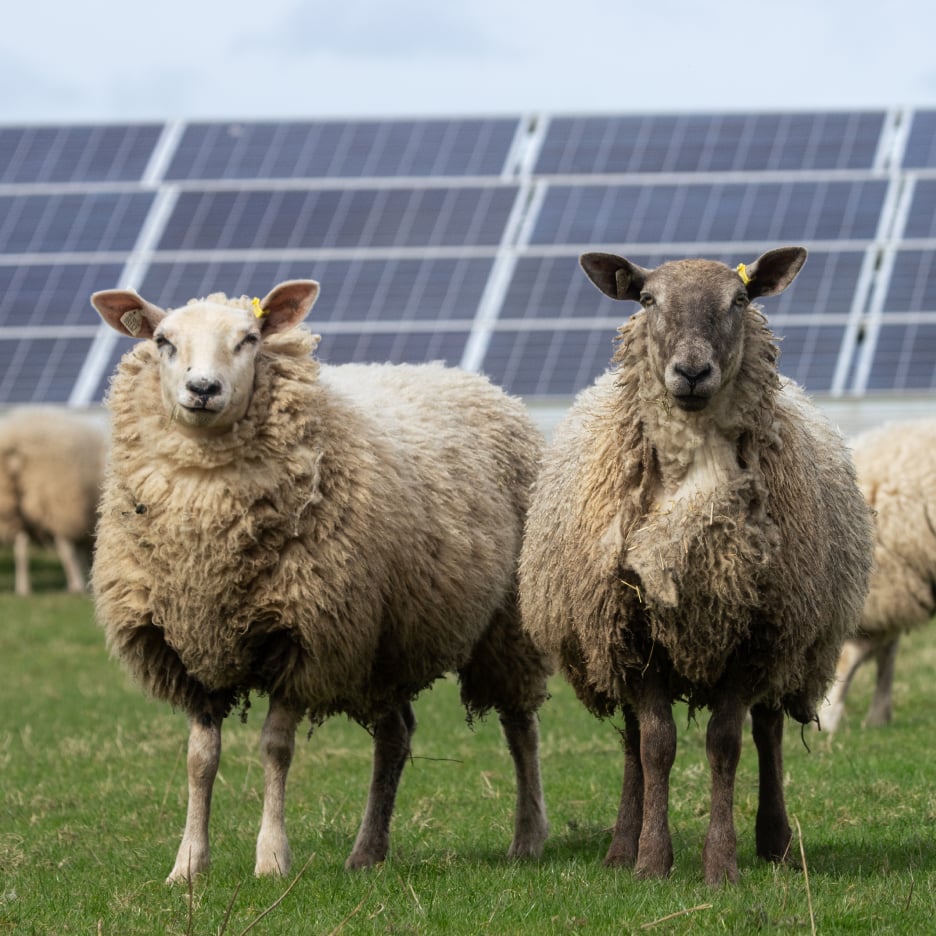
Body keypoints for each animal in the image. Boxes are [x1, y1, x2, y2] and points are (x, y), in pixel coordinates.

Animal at [0, 406, 107, 595]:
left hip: (13, 507)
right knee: (64, 547)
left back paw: (23, 589)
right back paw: (76, 586)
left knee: (21, 547)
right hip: (56, 500)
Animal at [89, 279, 550, 883]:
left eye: (250, 339)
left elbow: (275, 749)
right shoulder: (188, 645)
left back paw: (528, 836)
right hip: (384, 645)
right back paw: (368, 850)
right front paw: (188, 865)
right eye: (163, 340)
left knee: (521, 728)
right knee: (395, 737)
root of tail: (473, 378)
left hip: (506, 625)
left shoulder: (302, 635)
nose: (203, 388)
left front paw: (271, 859)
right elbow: (199, 760)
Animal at [518, 248, 874, 885]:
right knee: (633, 742)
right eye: (647, 299)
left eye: (740, 299)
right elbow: (657, 745)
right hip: (611, 645)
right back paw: (621, 845)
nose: (690, 371)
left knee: (769, 731)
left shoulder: (755, 632)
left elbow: (725, 743)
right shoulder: (634, 631)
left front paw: (721, 864)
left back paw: (776, 842)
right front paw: (651, 861)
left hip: (790, 643)